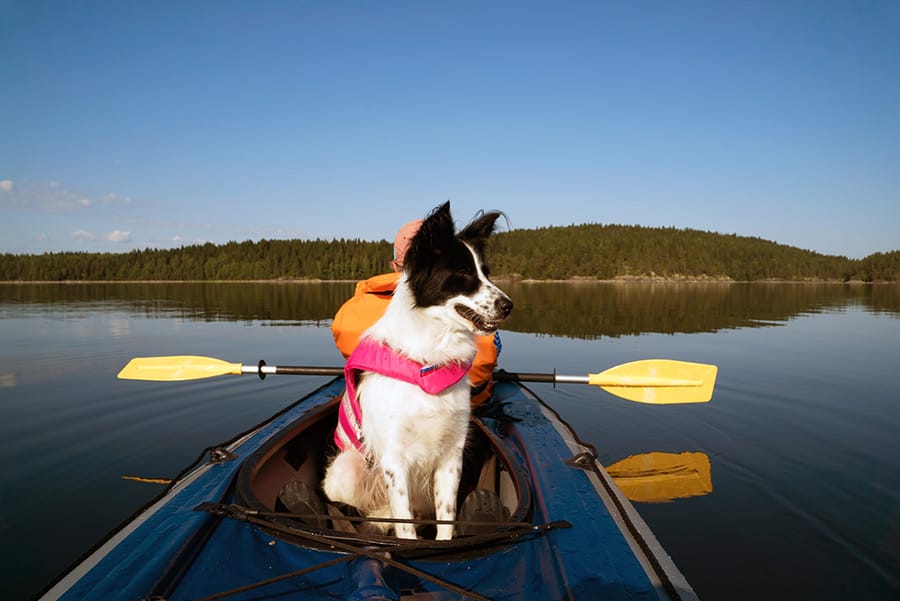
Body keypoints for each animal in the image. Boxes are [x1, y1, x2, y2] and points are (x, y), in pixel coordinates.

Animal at [322, 203, 512, 540]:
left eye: (485, 272)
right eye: (463, 273)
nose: (509, 305)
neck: (428, 363)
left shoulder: (452, 454)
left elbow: (446, 516)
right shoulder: (394, 459)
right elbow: (405, 523)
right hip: (346, 467)